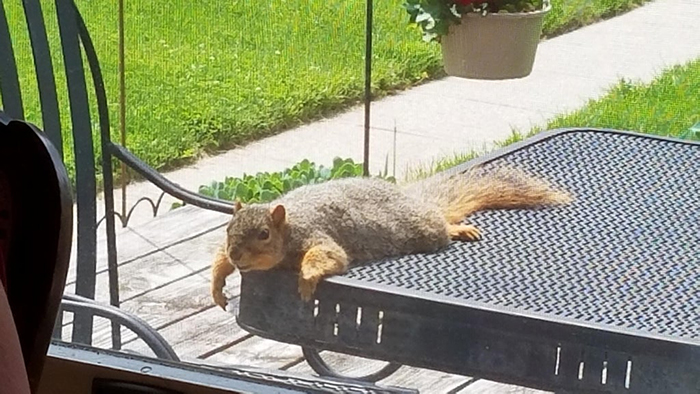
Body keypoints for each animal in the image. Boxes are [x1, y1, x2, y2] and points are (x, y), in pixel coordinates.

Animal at [211, 165, 572, 310]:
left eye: (263, 234)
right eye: (228, 229)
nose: (237, 254)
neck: (289, 229)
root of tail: (410, 198)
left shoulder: (314, 234)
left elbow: (328, 256)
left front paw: (306, 280)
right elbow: (217, 261)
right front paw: (217, 283)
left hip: (423, 228)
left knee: (440, 223)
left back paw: (456, 228)